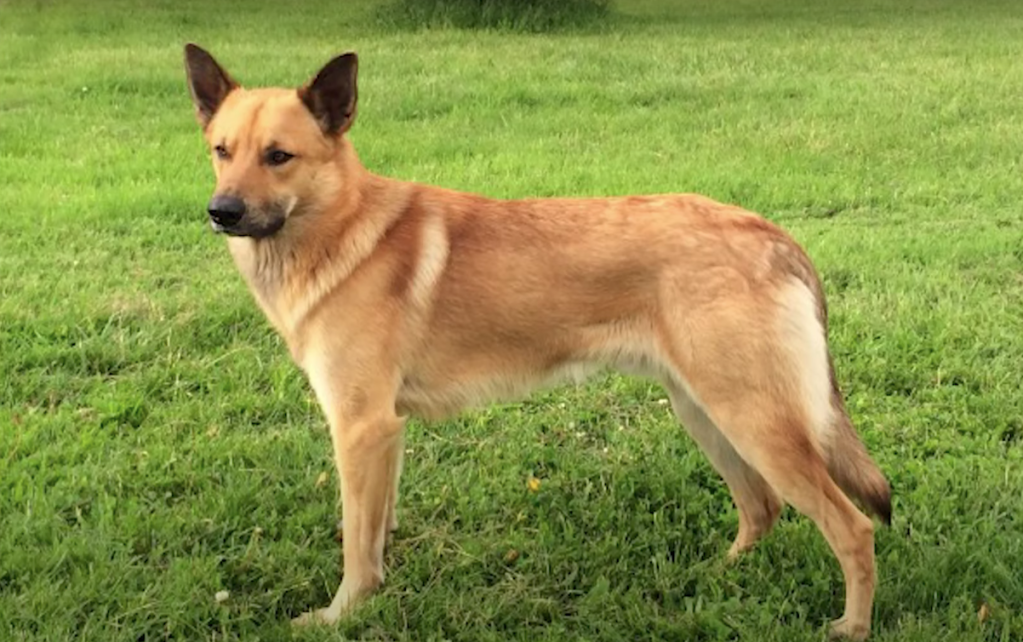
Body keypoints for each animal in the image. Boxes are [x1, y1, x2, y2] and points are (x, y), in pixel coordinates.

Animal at [188, 42, 892, 637]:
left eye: (279, 156)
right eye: (221, 150)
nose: (221, 212)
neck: (340, 229)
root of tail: (770, 233)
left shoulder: (361, 428)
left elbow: (355, 544)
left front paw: (343, 614)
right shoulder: (384, 435)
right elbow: (375, 528)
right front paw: (379, 591)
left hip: (753, 420)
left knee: (852, 528)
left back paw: (852, 625)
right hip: (706, 411)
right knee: (761, 507)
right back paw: (715, 577)